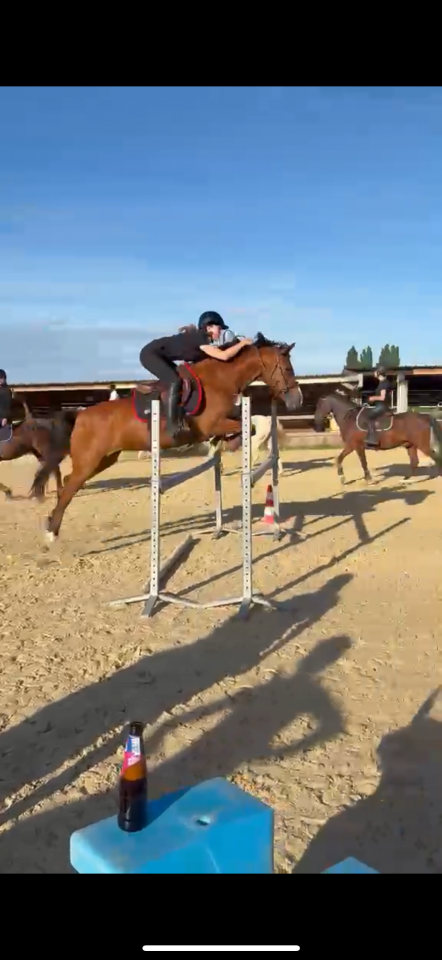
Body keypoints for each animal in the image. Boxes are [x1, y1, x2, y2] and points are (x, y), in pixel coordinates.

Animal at [31, 334, 302, 541]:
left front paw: (224, 442)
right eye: (288, 368)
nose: (297, 400)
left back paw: (51, 524)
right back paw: (51, 533)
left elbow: (244, 427)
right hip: (90, 459)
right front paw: (229, 440)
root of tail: (81, 414)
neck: (220, 379)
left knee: (68, 481)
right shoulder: (211, 424)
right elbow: (247, 428)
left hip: (105, 459)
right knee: (69, 487)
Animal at [314, 391, 442, 485]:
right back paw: (405, 480)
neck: (351, 418)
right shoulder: (353, 446)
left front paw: (367, 479)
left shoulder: (355, 445)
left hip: (422, 445)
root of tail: (425, 417)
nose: (316, 422)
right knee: (414, 462)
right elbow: (341, 459)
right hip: (410, 445)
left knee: (435, 458)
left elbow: (360, 461)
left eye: (320, 405)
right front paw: (344, 478)